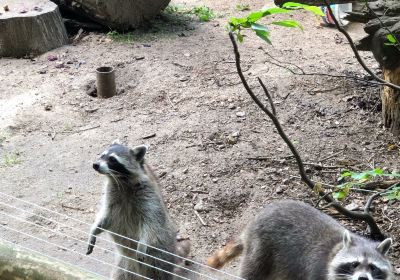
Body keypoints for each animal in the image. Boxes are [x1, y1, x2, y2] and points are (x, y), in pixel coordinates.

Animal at [86, 141, 190, 278]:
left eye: (112, 159)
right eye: (102, 155)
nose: (95, 165)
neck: (120, 180)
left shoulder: (149, 196)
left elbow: (151, 222)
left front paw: (142, 244)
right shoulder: (112, 197)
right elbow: (106, 218)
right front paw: (94, 230)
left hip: (160, 259)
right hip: (124, 264)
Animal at [208, 200, 392, 280]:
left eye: (373, 267)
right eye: (354, 264)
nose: (363, 279)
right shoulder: (318, 273)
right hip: (261, 249)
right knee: (252, 271)